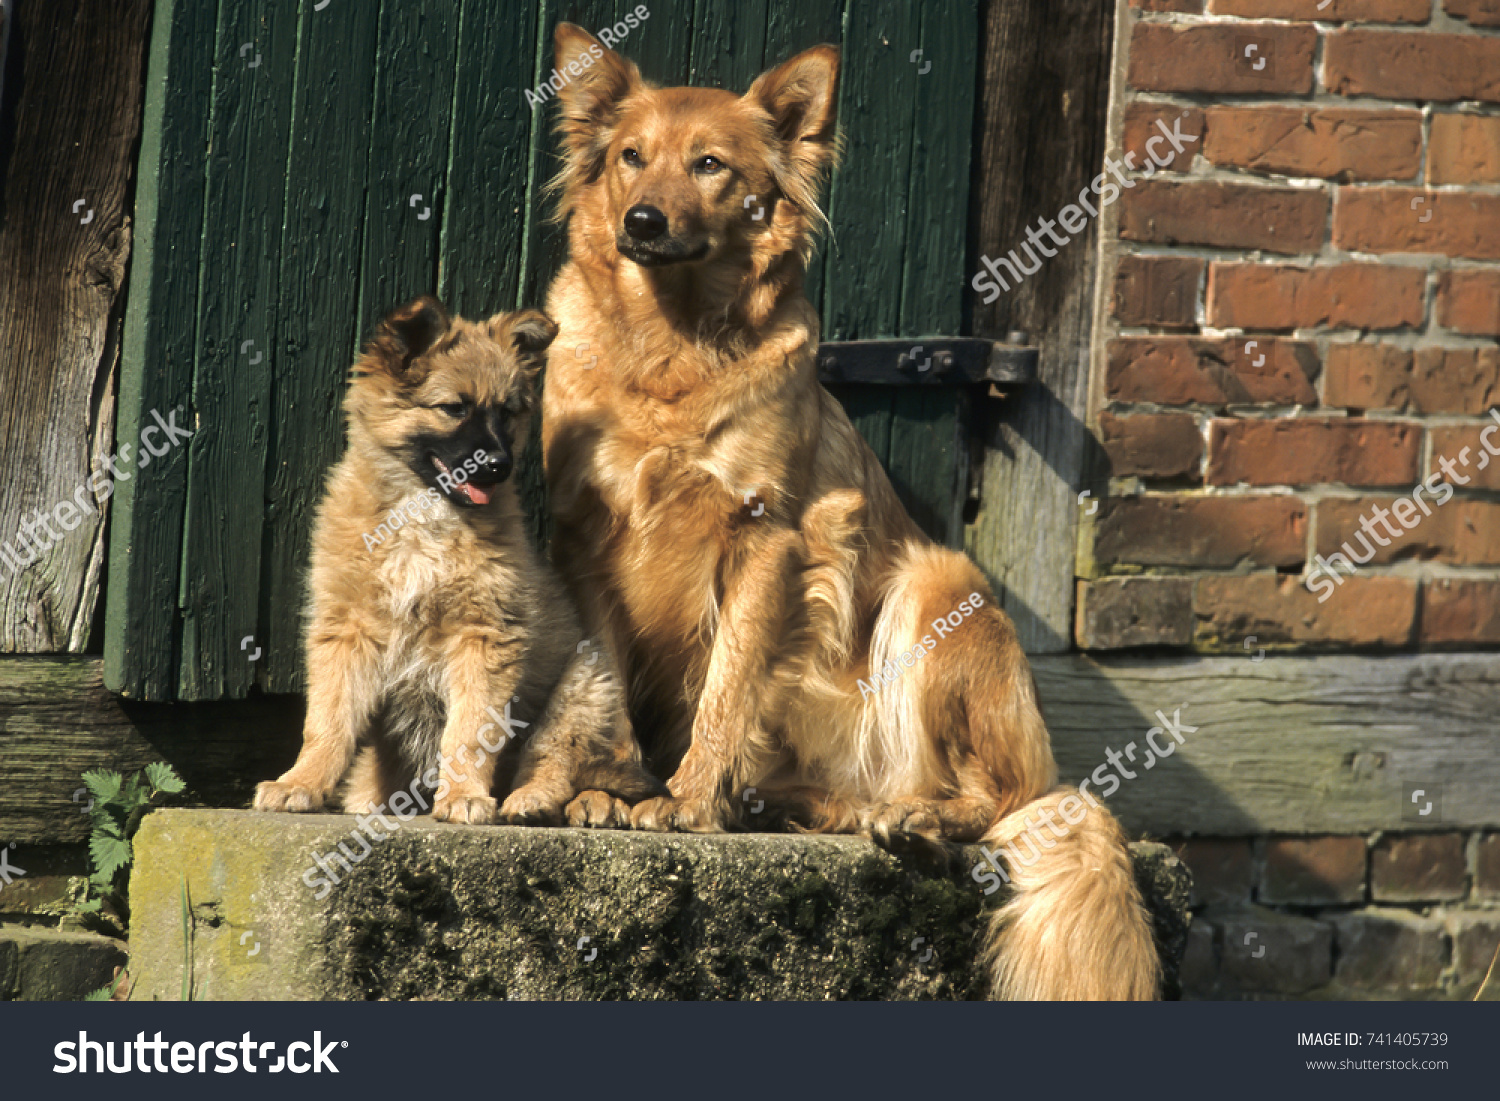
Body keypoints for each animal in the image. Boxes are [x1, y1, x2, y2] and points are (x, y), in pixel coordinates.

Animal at [540, 28, 1158, 1008]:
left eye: (709, 165)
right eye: (631, 156)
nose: (641, 220)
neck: (672, 345)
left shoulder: (765, 539)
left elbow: (727, 686)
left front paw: (689, 797)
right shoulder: (582, 537)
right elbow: (606, 674)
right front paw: (613, 786)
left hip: (940, 586)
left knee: (988, 798)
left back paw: (915, 820)